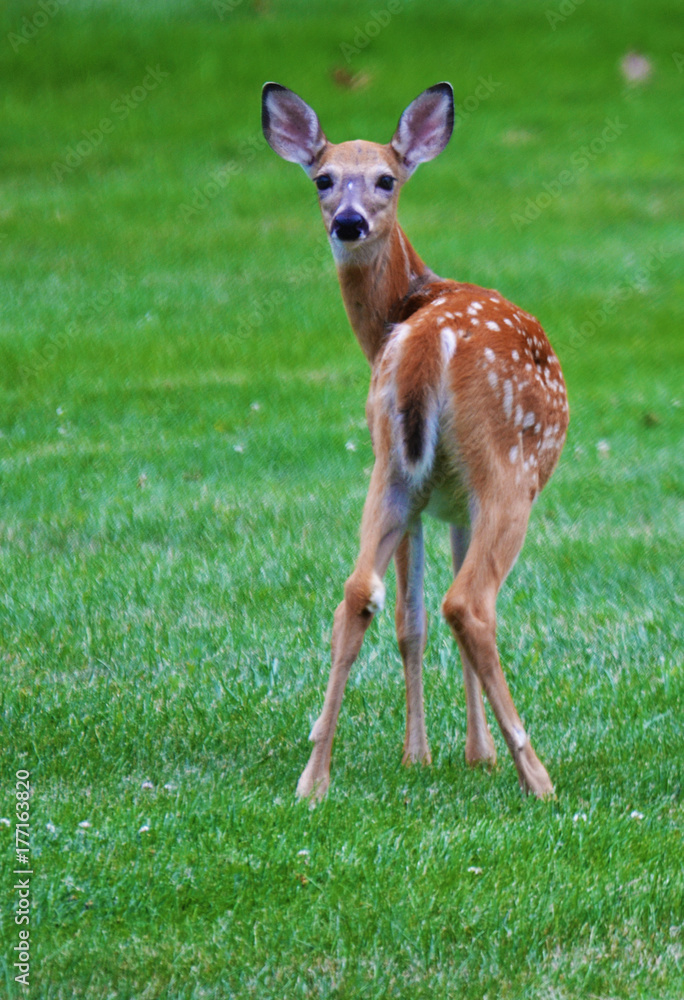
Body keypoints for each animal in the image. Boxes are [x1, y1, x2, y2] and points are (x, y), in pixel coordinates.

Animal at [261, 81, 569, 802]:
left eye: (386, 179)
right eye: (322, 178)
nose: (348, 221)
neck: (404, 307)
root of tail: (429, 335)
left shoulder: (439, 498)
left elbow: (408, 620)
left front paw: (429, 755)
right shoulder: (462, 498)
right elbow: (430, 613)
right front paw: (475, 755)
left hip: (390, 467)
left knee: (356, 592)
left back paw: (313, 777)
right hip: (506, 466)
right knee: (470, 603)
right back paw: (537, 775)